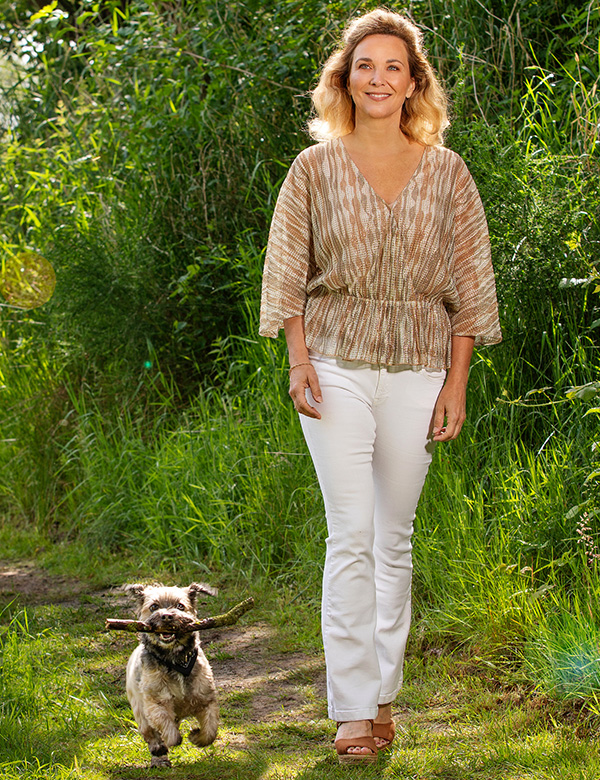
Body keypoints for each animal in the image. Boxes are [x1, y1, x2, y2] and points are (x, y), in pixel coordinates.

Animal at [125, 580, 219, 768]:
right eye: (154, 606)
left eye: (180, 606)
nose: (167, 616)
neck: (176, 661)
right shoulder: (156, 702)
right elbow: (166, 726)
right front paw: (170, 739)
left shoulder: (206, 699)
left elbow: (210, 730)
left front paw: (196, 737)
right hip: (139, 709)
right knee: (150, 733)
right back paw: (159, 755)